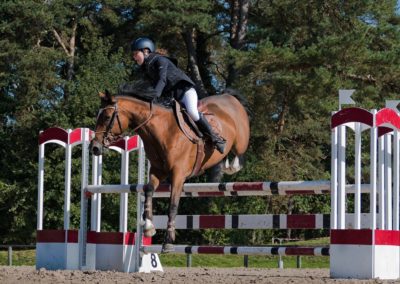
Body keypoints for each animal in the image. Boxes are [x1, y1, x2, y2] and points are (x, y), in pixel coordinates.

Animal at [90, 90, 250, 252]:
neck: (162, 130)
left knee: (239, 154)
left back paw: (228, 161)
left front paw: (168, 241)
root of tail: (231, 97)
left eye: (107, 117)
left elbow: (172, 207)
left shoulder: (178, 175)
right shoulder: (157, 171)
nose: (94, 148)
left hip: (240, 142)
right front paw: (148, 228)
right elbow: (148, 190)